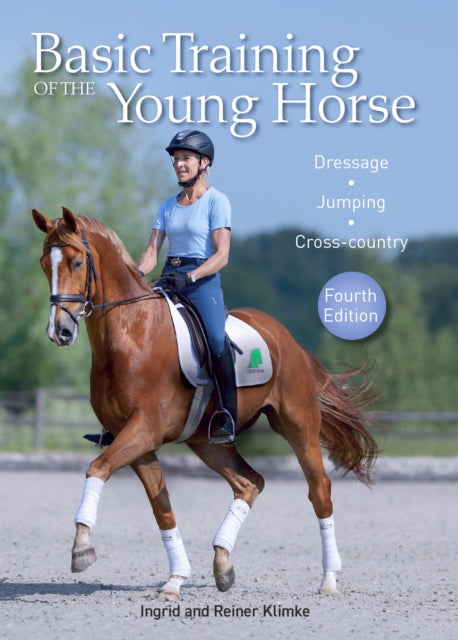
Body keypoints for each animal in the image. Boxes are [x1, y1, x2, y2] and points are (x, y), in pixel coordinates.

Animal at [32, 206, 379, 600]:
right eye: (44, 264)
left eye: (76, 262)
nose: (60, 332)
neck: (132, 336)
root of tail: (285, 337)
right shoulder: (134, 439)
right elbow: (161, 507)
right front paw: (175, 579)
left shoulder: (145, 430)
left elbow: (97, 468)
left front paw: (81, 548)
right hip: (207, 441)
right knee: (249, 483)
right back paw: (222, 561)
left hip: (298, 424)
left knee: (319, 490)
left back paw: (329, 578)